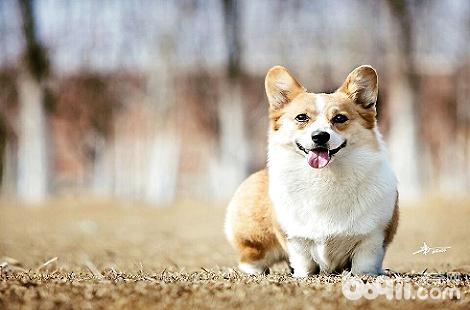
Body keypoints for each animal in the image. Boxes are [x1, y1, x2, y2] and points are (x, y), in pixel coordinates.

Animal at [224, 65, 396, 276]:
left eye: (340, 118)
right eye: (301, 117)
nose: (320, 136)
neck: (324, 177)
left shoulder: (371, 238)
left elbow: (364, 264)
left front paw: (365, 275)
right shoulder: (296, 239)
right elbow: (303, 261)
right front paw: (301, 276)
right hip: (256, 241)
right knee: (251, 259)